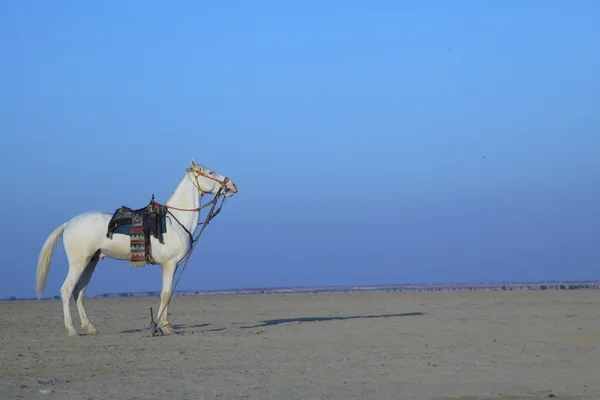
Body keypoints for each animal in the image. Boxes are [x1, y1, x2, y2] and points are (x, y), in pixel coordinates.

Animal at [34, 159, 237, 338]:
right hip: (78, 262)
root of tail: (69, 223)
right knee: (67, 290)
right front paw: (166, 326)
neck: (176, 221)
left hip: (91, 262)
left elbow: (165, 293)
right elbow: (166, 294)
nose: (233, 185)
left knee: (79, 292)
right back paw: (72, 330)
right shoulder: (169, 264)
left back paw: (90, 327)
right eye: (210, 172)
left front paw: (158, 325)